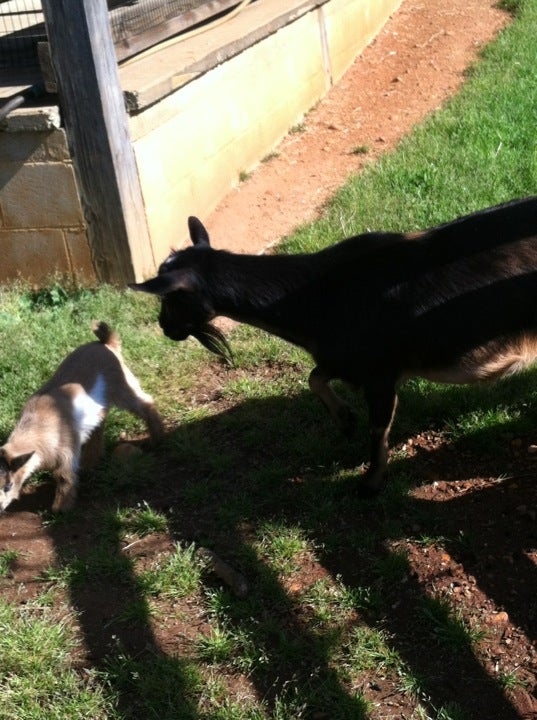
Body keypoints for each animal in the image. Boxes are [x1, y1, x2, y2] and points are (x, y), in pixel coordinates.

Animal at [129, 197, 536, 496]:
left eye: (170, 299)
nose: (165, 328)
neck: (313, 297)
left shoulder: (380, 373)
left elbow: (377, 429)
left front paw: (370, 484)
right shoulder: (342, 359)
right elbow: (315, 376)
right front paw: (344, 420)